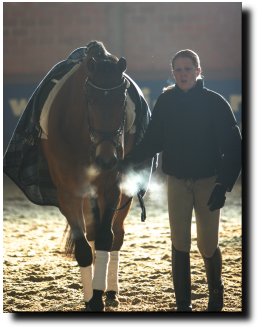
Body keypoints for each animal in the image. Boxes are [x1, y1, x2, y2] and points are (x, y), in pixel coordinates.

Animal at [39, 41, 147, 312]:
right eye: (89, 99)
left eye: (122, 100)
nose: (107, 159)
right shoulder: (68, 192)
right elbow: (84, 248)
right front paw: (91, 299)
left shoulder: (112, 187)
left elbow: (106, 238)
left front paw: (99, 295)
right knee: (91, 235)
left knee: (115, 235)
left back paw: (111, 291)